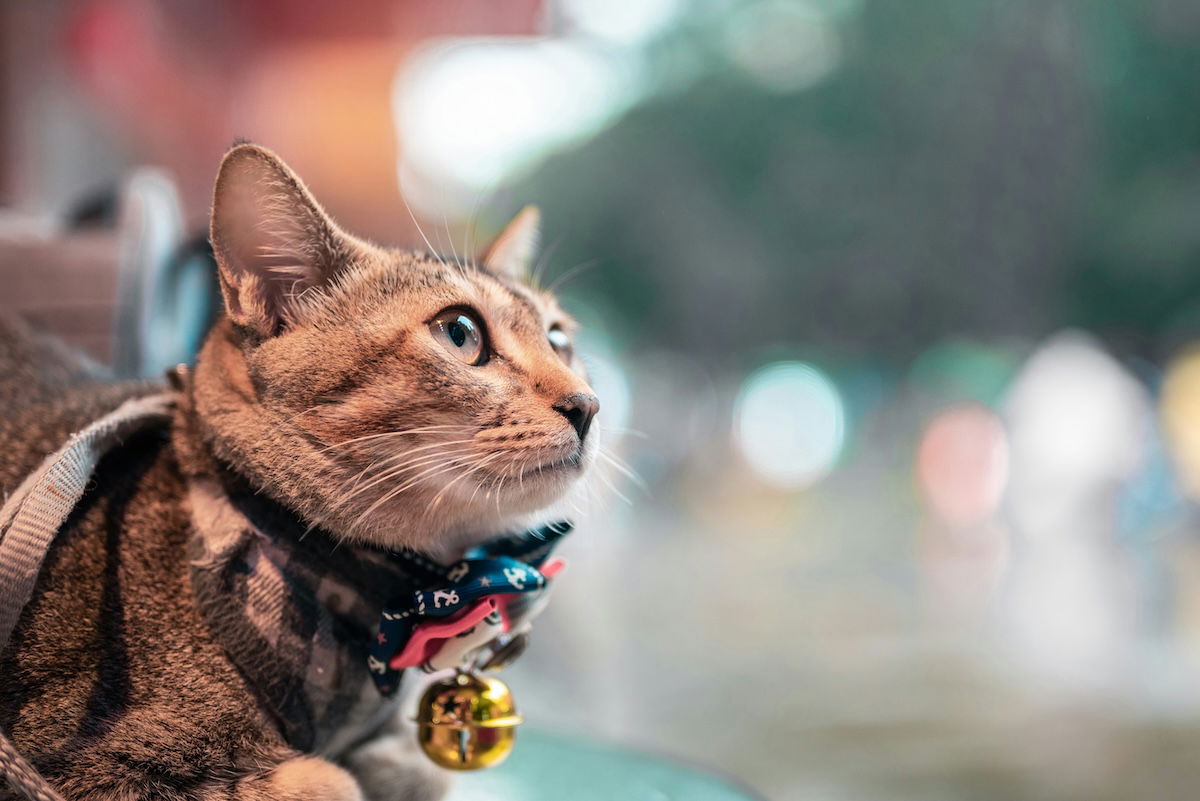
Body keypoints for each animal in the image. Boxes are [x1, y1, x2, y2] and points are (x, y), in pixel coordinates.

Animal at [0, 145, 600, 801]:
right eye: (460, 332)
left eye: (559, 338)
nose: (589, 404)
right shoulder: (84, 762)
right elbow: (327, 781)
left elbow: (416, 768)